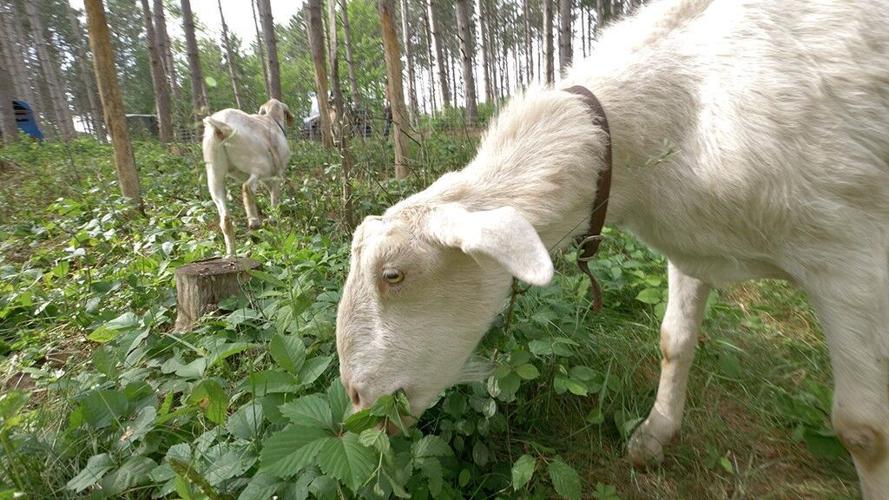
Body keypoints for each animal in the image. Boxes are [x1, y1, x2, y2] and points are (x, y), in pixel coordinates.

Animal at [202, 99, 294, 256]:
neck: (272, 119)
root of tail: (221, 127)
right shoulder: (276, 175)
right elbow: (275, 203)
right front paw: (275, 224)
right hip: (259, 165)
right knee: (247, 188)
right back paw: (254, 223)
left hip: (214, 175)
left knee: (225, 220)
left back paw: (231, 254)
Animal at [335, 0, 889, 495]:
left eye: (394, 274)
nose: (358, 401)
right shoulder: (694, 248)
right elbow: (673, 342)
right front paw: (653, 435)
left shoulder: (850, 264)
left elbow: (864, 430)